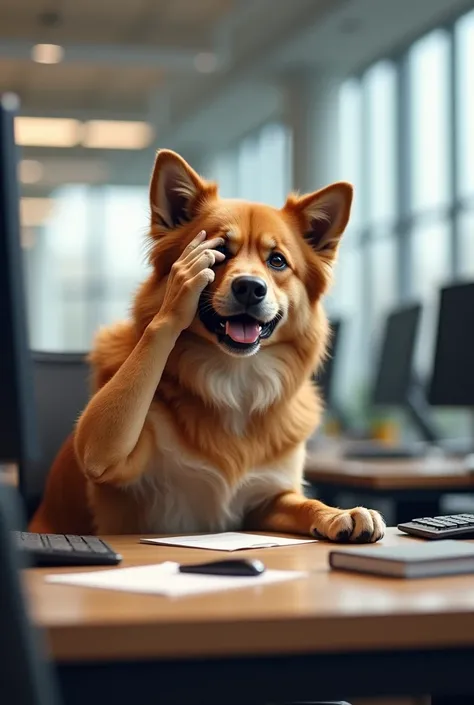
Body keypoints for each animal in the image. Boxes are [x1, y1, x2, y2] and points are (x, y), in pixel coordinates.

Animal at [28, 151, 386, 540]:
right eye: (219, 252)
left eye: (277, 260)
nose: (250, 288)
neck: (234, 377)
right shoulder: (108, 459)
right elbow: (98, 446)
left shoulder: (268, 500)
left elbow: (305, 502)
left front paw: (339, 513)